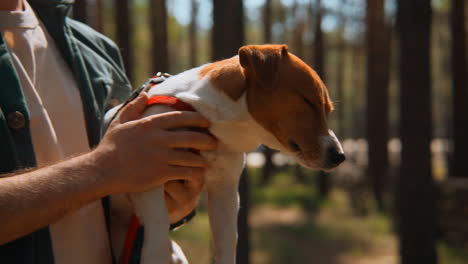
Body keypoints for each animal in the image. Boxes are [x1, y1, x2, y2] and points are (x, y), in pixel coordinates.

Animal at [106, 44, 344, 262]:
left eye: (329, 110)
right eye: (309, 101)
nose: (340, 156)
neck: (211, 118)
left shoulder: (225, 189)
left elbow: (227, 242)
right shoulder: (148, 176)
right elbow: (158, 233)